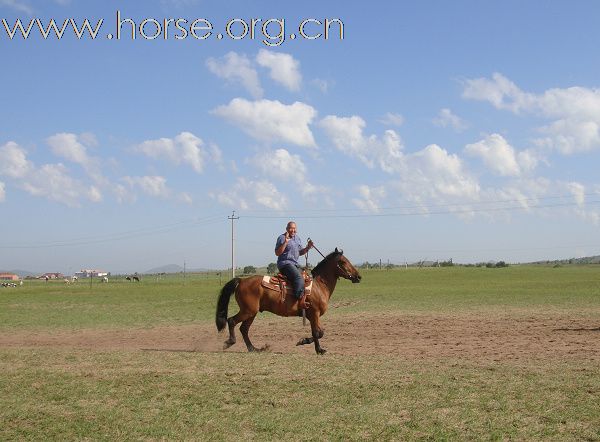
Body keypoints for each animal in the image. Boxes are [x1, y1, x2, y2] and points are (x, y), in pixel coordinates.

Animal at [219, 249, 364, 356]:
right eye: (343, 262)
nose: (358, 276)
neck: (319, 285)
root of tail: (241, 281)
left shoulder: (312, 316)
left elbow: (316, 332)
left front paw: (314, 347)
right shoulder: (315, 313)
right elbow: (319, 332)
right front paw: (310, 345)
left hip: (252, 313)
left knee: (244, 329)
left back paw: (254, 348)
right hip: (248, 311)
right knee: (231, 321)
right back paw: (230, 342)